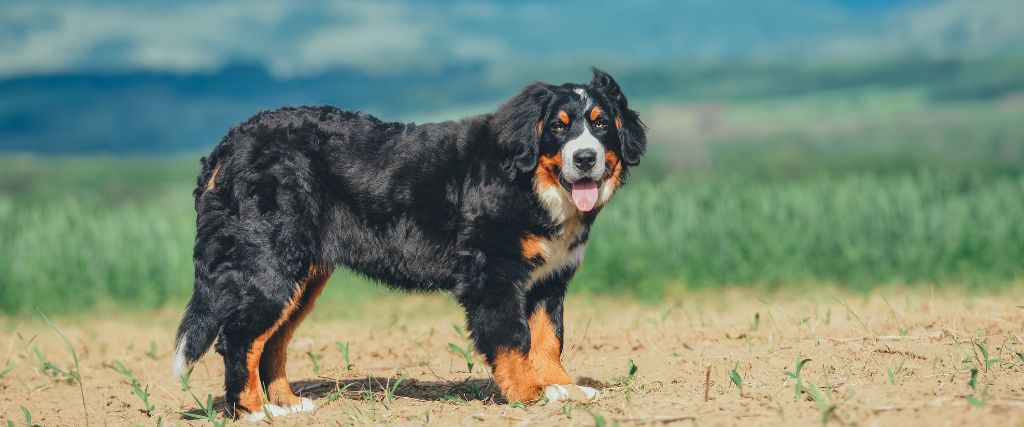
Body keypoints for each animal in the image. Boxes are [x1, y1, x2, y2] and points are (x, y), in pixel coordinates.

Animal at [171, 67, 643, 419]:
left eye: (601, 123)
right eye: (559, 129)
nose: (585, 158)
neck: (531, 183)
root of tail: (231, 143)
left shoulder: (549, 279)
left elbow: (548, 340)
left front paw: (565, 388)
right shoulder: (493, 273)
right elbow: (513, 339)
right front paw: (531, 394)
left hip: (301, 277)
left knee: (272, 341)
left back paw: (288, 404)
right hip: (268, 265)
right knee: (239, 338)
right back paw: (254, 411)